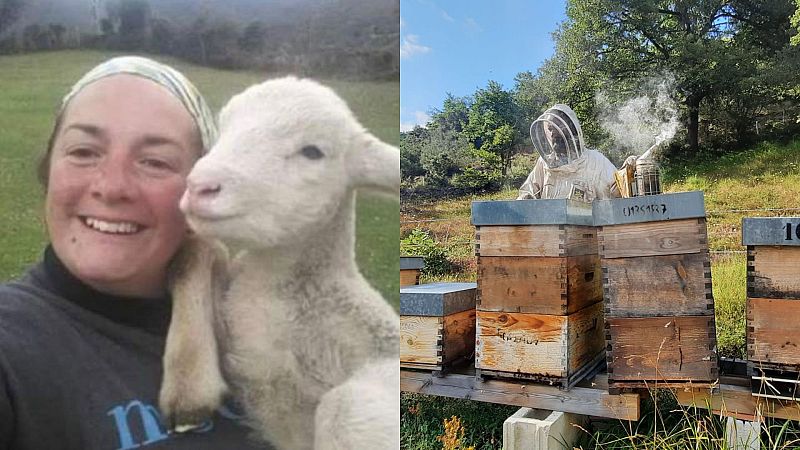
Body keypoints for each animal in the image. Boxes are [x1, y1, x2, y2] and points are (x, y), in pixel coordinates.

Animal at [158, 76, 400, 449]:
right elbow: (196, 249)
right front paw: (188, 388)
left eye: (313, 151)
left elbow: (343, 409)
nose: (200, 186)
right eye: (223, 129)